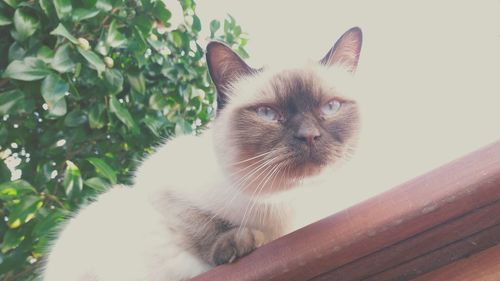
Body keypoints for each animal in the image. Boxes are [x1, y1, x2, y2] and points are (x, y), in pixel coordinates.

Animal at [42, 26, 364, 280]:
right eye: (268, 113)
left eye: (331, 107)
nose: (309, 136)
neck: (290, 203)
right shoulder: (160, 184)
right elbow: (203, 225)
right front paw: (238, 244)